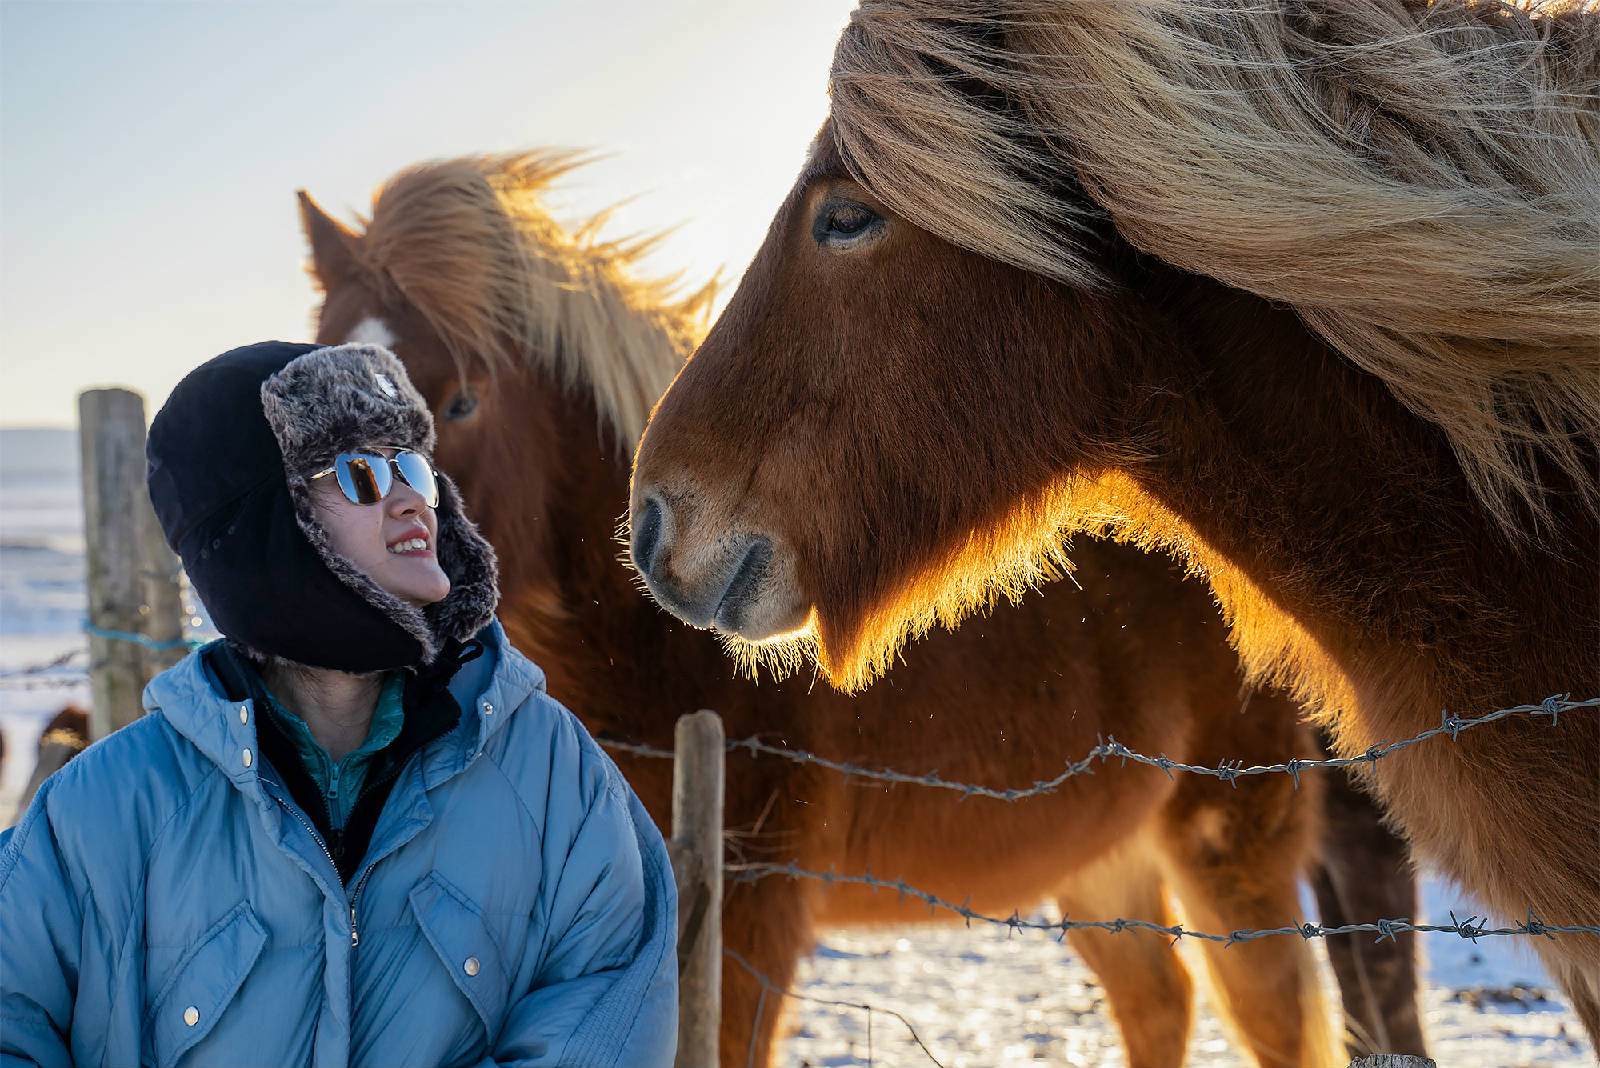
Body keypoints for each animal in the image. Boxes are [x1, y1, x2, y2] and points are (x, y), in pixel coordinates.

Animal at [302, 154, 1427, 1061]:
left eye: (462, 399)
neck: (650, 657)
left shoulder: (743, 926)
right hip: (1106, 862)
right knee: (1160, 1004)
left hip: (1229, 848)